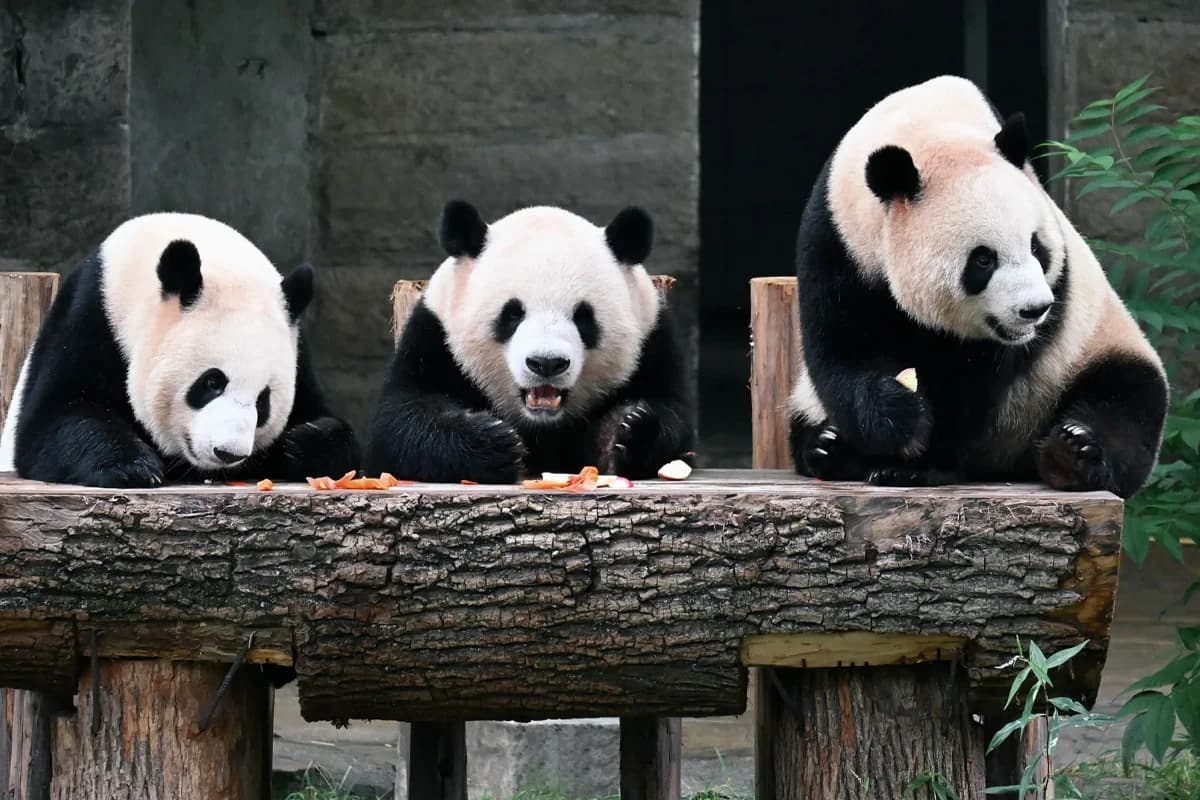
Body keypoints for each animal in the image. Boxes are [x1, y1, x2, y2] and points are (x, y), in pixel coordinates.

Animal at [0, 212, 360, 487]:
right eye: (212, 382)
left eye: (263, 400)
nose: (228, 453)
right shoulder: (91, 321)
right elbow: (53, 419)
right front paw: (131, 466)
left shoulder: (299, 353)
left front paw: (301, 442)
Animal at [364, 200, 695, 484]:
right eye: (512, 313)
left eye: (583, 317)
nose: (547, 363)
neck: (541, 424)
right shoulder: (435, 337)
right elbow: (400, 419)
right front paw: (492, 443)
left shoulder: (652, 341)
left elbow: (674, 417)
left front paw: (630, 430)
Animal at [788, 75, 1168, 499]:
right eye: (983, 260)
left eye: (1036, 247)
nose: (1035, 309)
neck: (928, 130)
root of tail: (1006, 461)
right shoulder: (838, 239)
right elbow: (845, 347)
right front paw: (899, 418)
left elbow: (970, 379)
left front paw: (919, 465)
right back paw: (828, 446)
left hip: (1088, 350)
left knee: (1124, 401)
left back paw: (1073, 453)